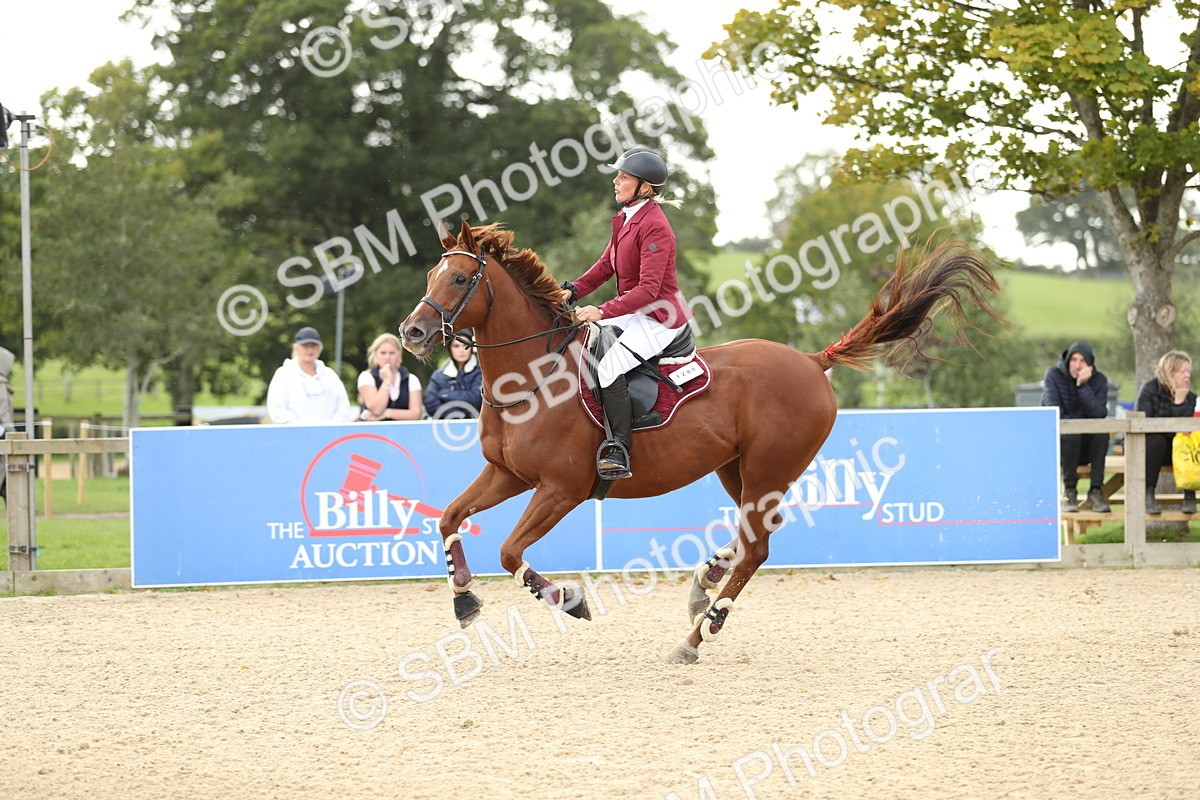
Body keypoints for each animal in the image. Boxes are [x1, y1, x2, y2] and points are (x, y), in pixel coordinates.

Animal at [400, 219, 1000, 664]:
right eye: (432, 273)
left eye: (460, 280)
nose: (412, 333)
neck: (531, 378)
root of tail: (812, 361)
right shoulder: (507, 474)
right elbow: (450, 518)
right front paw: (464, 599)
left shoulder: (561, 488)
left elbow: (509, 551)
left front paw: (568, 599)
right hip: (736, 469)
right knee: (753, 538)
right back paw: (703, 583)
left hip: (767, 470)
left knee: (756, 548)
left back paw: (696, 635)